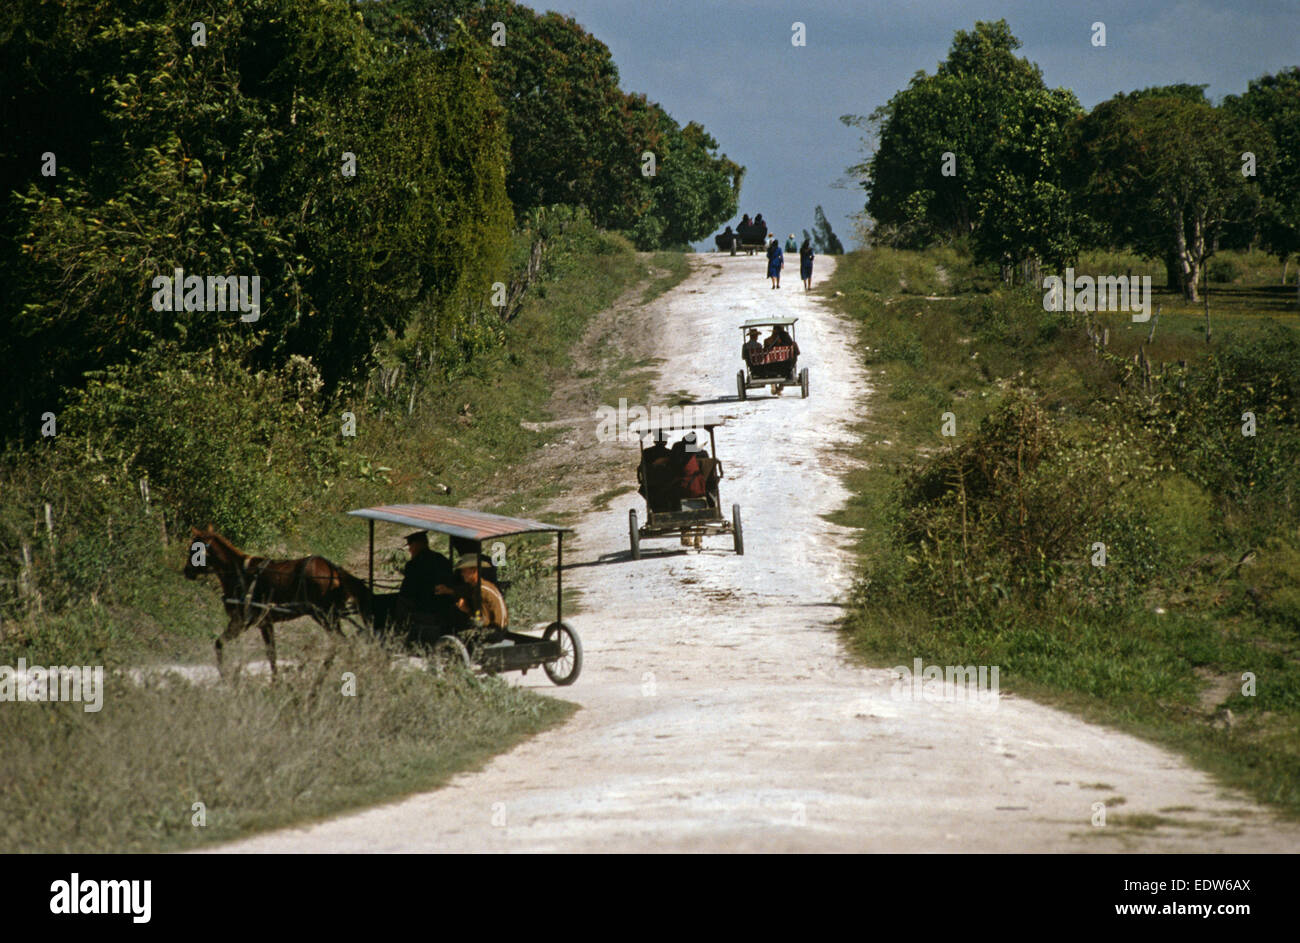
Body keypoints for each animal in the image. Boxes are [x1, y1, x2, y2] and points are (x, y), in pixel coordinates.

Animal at [180, 530, 371, 676]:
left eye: (194, 550)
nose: (187, 571)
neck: (239, 572)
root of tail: (334, 570)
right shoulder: (264, 623)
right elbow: (271, 653)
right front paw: (276, 680)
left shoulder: (241, 622)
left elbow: (219, 644)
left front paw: (224, 675)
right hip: (330, 617)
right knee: (340, 644)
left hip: (324, 616)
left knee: (342, 643)